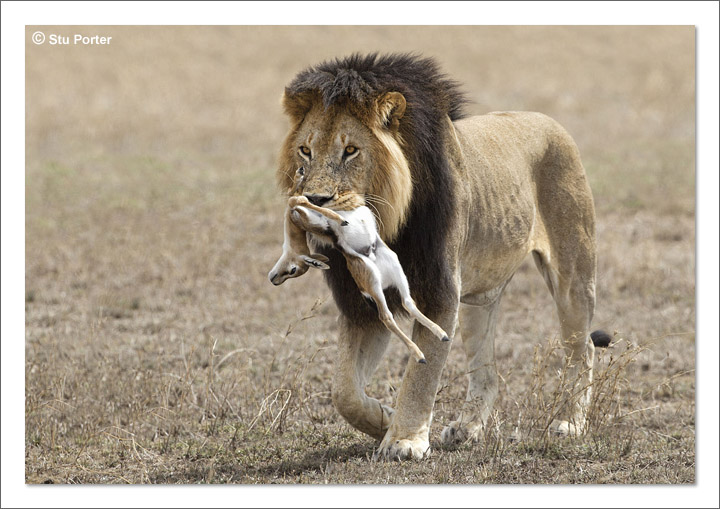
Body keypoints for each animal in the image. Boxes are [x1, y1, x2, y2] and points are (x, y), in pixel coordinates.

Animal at [274, 53, 610, 460]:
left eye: (350, 150)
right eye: (305, 151)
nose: (315, 200)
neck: (390, 222)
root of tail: (549, 121)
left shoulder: (439, 290)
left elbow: (423, 370)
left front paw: (404, 440)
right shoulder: (363, 303)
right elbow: (344, 391)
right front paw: (385, 420)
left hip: (573, 272)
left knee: (582, 346)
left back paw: (570, 423)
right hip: (478, 301)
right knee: (487, 371)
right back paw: (467, 428)